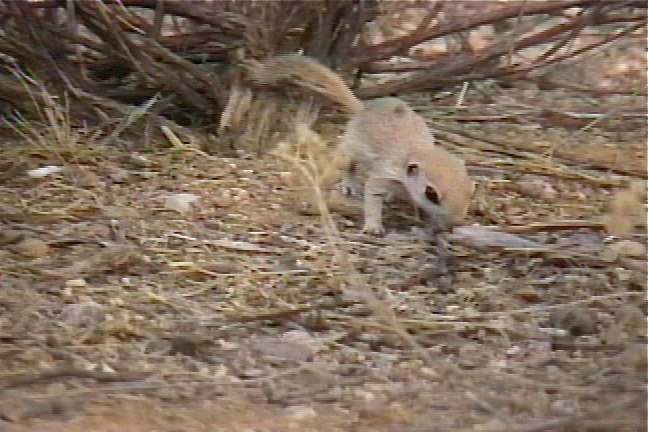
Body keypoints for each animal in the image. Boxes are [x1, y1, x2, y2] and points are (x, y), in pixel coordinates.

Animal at [248, 55, 476, 236]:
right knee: (349, 167)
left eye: (470, 190)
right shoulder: (382, 178)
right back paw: (350, 185)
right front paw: (374, 227)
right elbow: (372, 199)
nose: (456, 222)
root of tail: (362, 109)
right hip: (349, 150)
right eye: (431, 194)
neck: (414, 155)